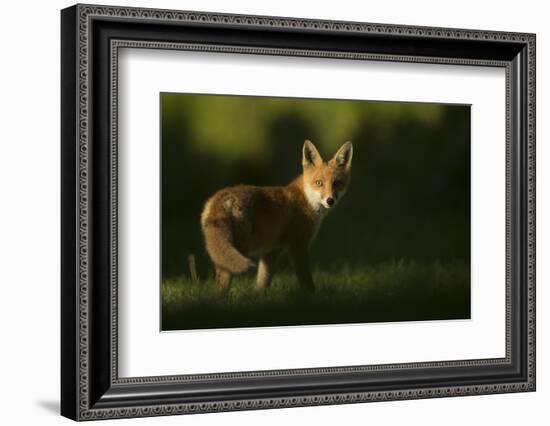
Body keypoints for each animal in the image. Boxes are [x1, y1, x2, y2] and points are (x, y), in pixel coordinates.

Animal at [202, 140, 354, 292]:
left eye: (337, 183)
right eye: (319, 183)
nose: (330, 200)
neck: (306, 199)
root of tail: (218, 200)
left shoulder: (271, 252)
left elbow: (262, 283)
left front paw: (259, 295)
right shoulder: (298, 246)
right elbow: (306, 281)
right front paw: (312, 295)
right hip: (240, 248)